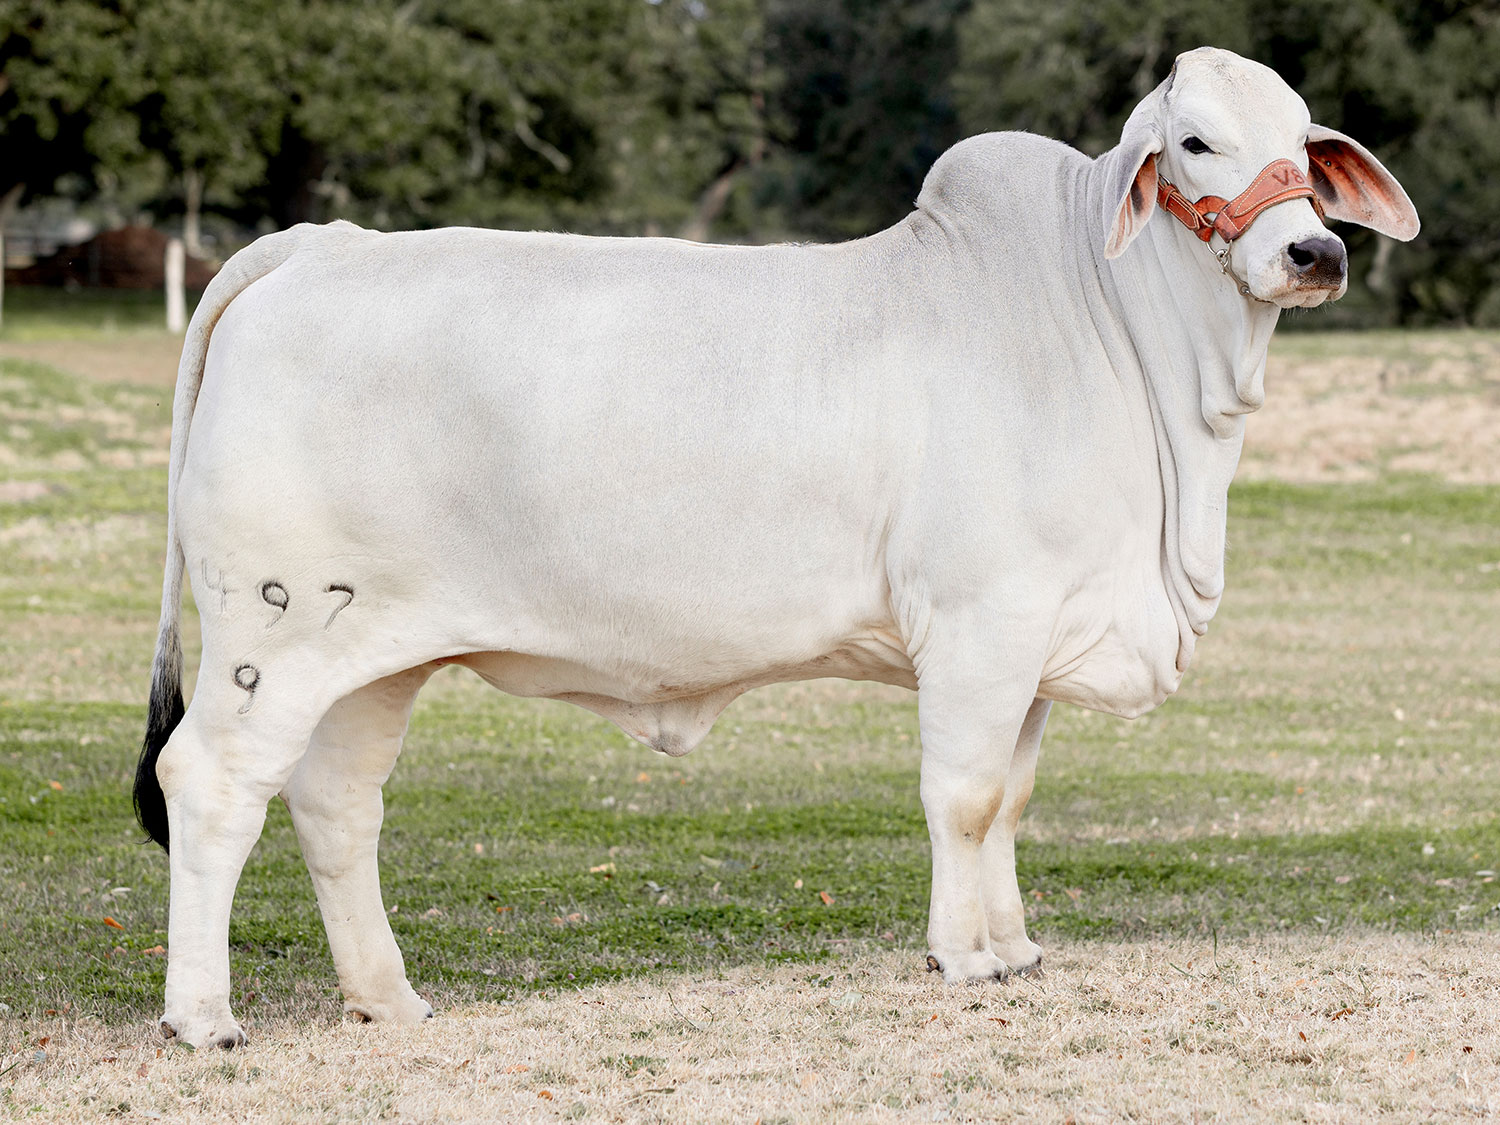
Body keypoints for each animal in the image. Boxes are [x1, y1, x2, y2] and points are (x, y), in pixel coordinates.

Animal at [138, 44, 1416, 1050]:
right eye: (1195, 141)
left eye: (1306, 145)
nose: (1313, 254)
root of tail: (316, 245)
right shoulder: (982, 623)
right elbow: (963, 797)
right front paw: (963, 956)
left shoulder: (1039, 643)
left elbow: (1010, 799)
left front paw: (1013, 948)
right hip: (269, 633)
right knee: (211, 784)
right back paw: (203, 1017)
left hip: (375, 655)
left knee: (335, 804)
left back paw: (387, 999)